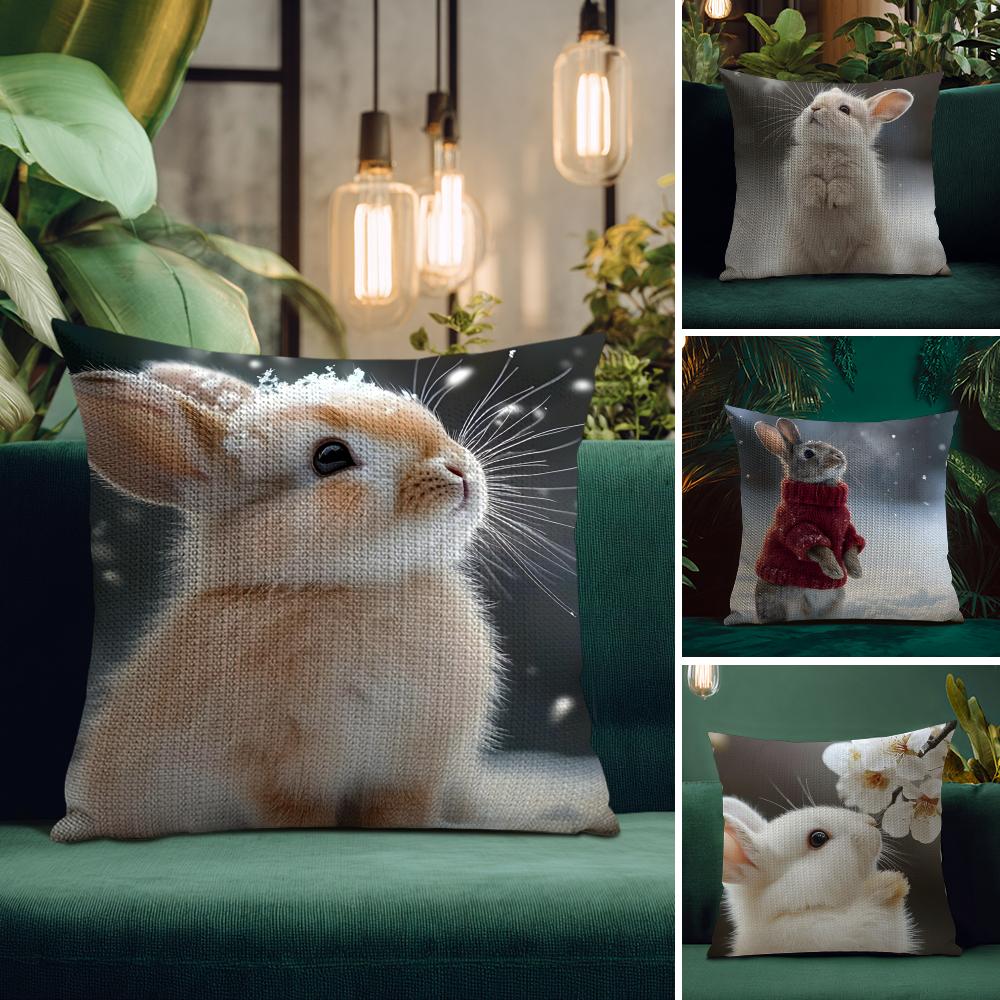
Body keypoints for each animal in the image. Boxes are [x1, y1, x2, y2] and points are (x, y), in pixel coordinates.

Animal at [52, 361, 506, 841]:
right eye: (330, 457)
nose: (459, 471)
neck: (345, 585)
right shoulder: (277, 778)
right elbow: (299, 818)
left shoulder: (407, 779)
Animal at [751, 418, 864, 624]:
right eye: (808, 453)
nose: (839, 457)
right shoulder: (798, 529)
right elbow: (819, 548)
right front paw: (835, 570)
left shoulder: (846, 530)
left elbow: (851, 546)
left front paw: (856, 572)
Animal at [781, 86, 918, 276]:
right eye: (813, 101)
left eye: (845, 109)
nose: (815, 108)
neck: (829, 146)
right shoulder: (798, 176)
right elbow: (811, 183)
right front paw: (818, 200)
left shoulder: (857, 180)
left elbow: (841, 186)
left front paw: (831, 201)